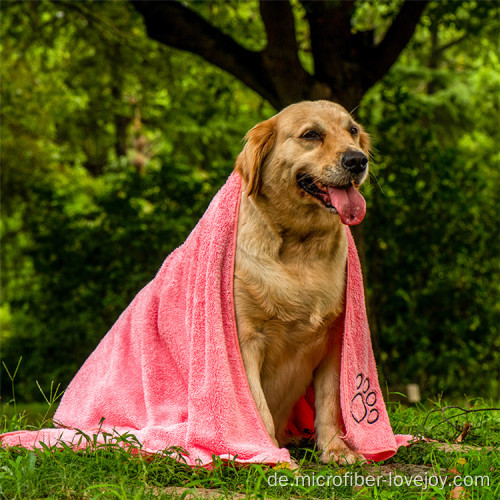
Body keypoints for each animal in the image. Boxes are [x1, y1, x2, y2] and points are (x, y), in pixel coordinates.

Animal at [232, 100, 370, 464]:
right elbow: (256, 407)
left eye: (352, 130)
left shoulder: (335, 339)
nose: (357, 160)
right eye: (311, 135)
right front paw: (269, 456)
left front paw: (336, 449)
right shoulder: (246, 340)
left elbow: (330, 402)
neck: (300, 250)